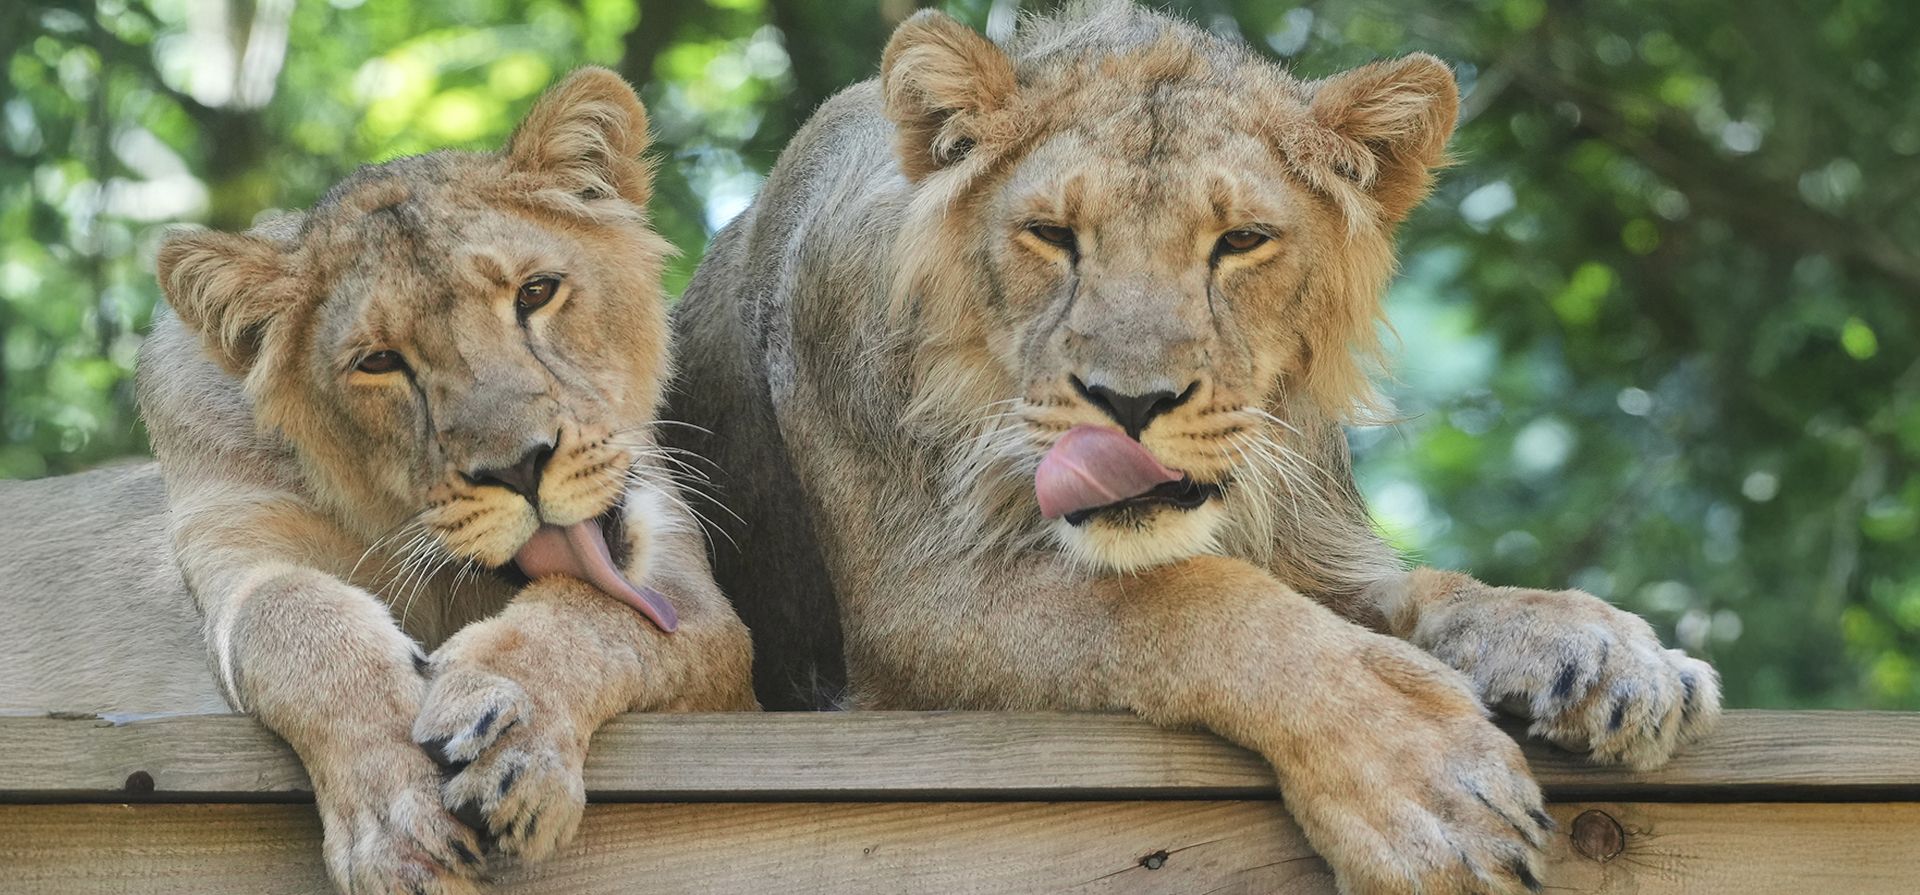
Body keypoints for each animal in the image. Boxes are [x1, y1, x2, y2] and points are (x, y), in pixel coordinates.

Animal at [0, 69, 756, 894]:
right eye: (380, 361)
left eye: (536, 292)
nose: (519, 465)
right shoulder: (240, 541)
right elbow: (297, 621)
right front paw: (401, 823)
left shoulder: (698, 605)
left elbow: (598, 615)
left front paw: (508, 730)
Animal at [665, 5, 1721, 893]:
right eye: (1051, 233)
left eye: (1242, 240)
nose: (1132, 403)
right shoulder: (910, 610)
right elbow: (1185, 599)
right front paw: (1431, 787)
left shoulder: (1317, 541)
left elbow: (1433, 588)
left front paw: (1608, 651)